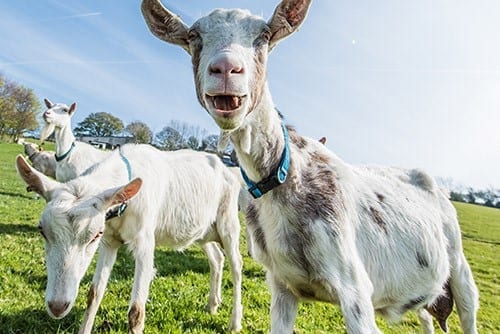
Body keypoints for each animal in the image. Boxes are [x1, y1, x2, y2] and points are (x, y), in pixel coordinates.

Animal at [18, 144, 246, 334]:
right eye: (41, 230)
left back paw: (234, 322)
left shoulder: (144, 241)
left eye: (95, 235)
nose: (57, 306)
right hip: (204, 231)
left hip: (228, 221)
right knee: (216, 258)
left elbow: (136, 311)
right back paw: (213, 304)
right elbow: (93, 294)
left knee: (236, 264)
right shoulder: (109, 241)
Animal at [142, 1, 480, 332]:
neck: (286, 177)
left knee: (467, 309)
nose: (226, 68)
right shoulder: (282, 286)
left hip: (460, 269)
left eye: (264, 36)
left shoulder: (356, 291)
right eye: (193, 37)